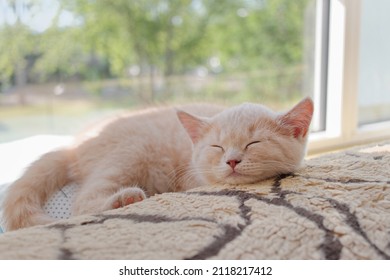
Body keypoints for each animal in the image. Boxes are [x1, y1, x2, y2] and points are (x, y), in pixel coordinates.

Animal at [1, 98, 312, 230]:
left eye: (253, 143)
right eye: (218, 147)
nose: (232, 160)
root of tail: (74, 146)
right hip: (131, 151)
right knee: (83, 202)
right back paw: (123, 199)